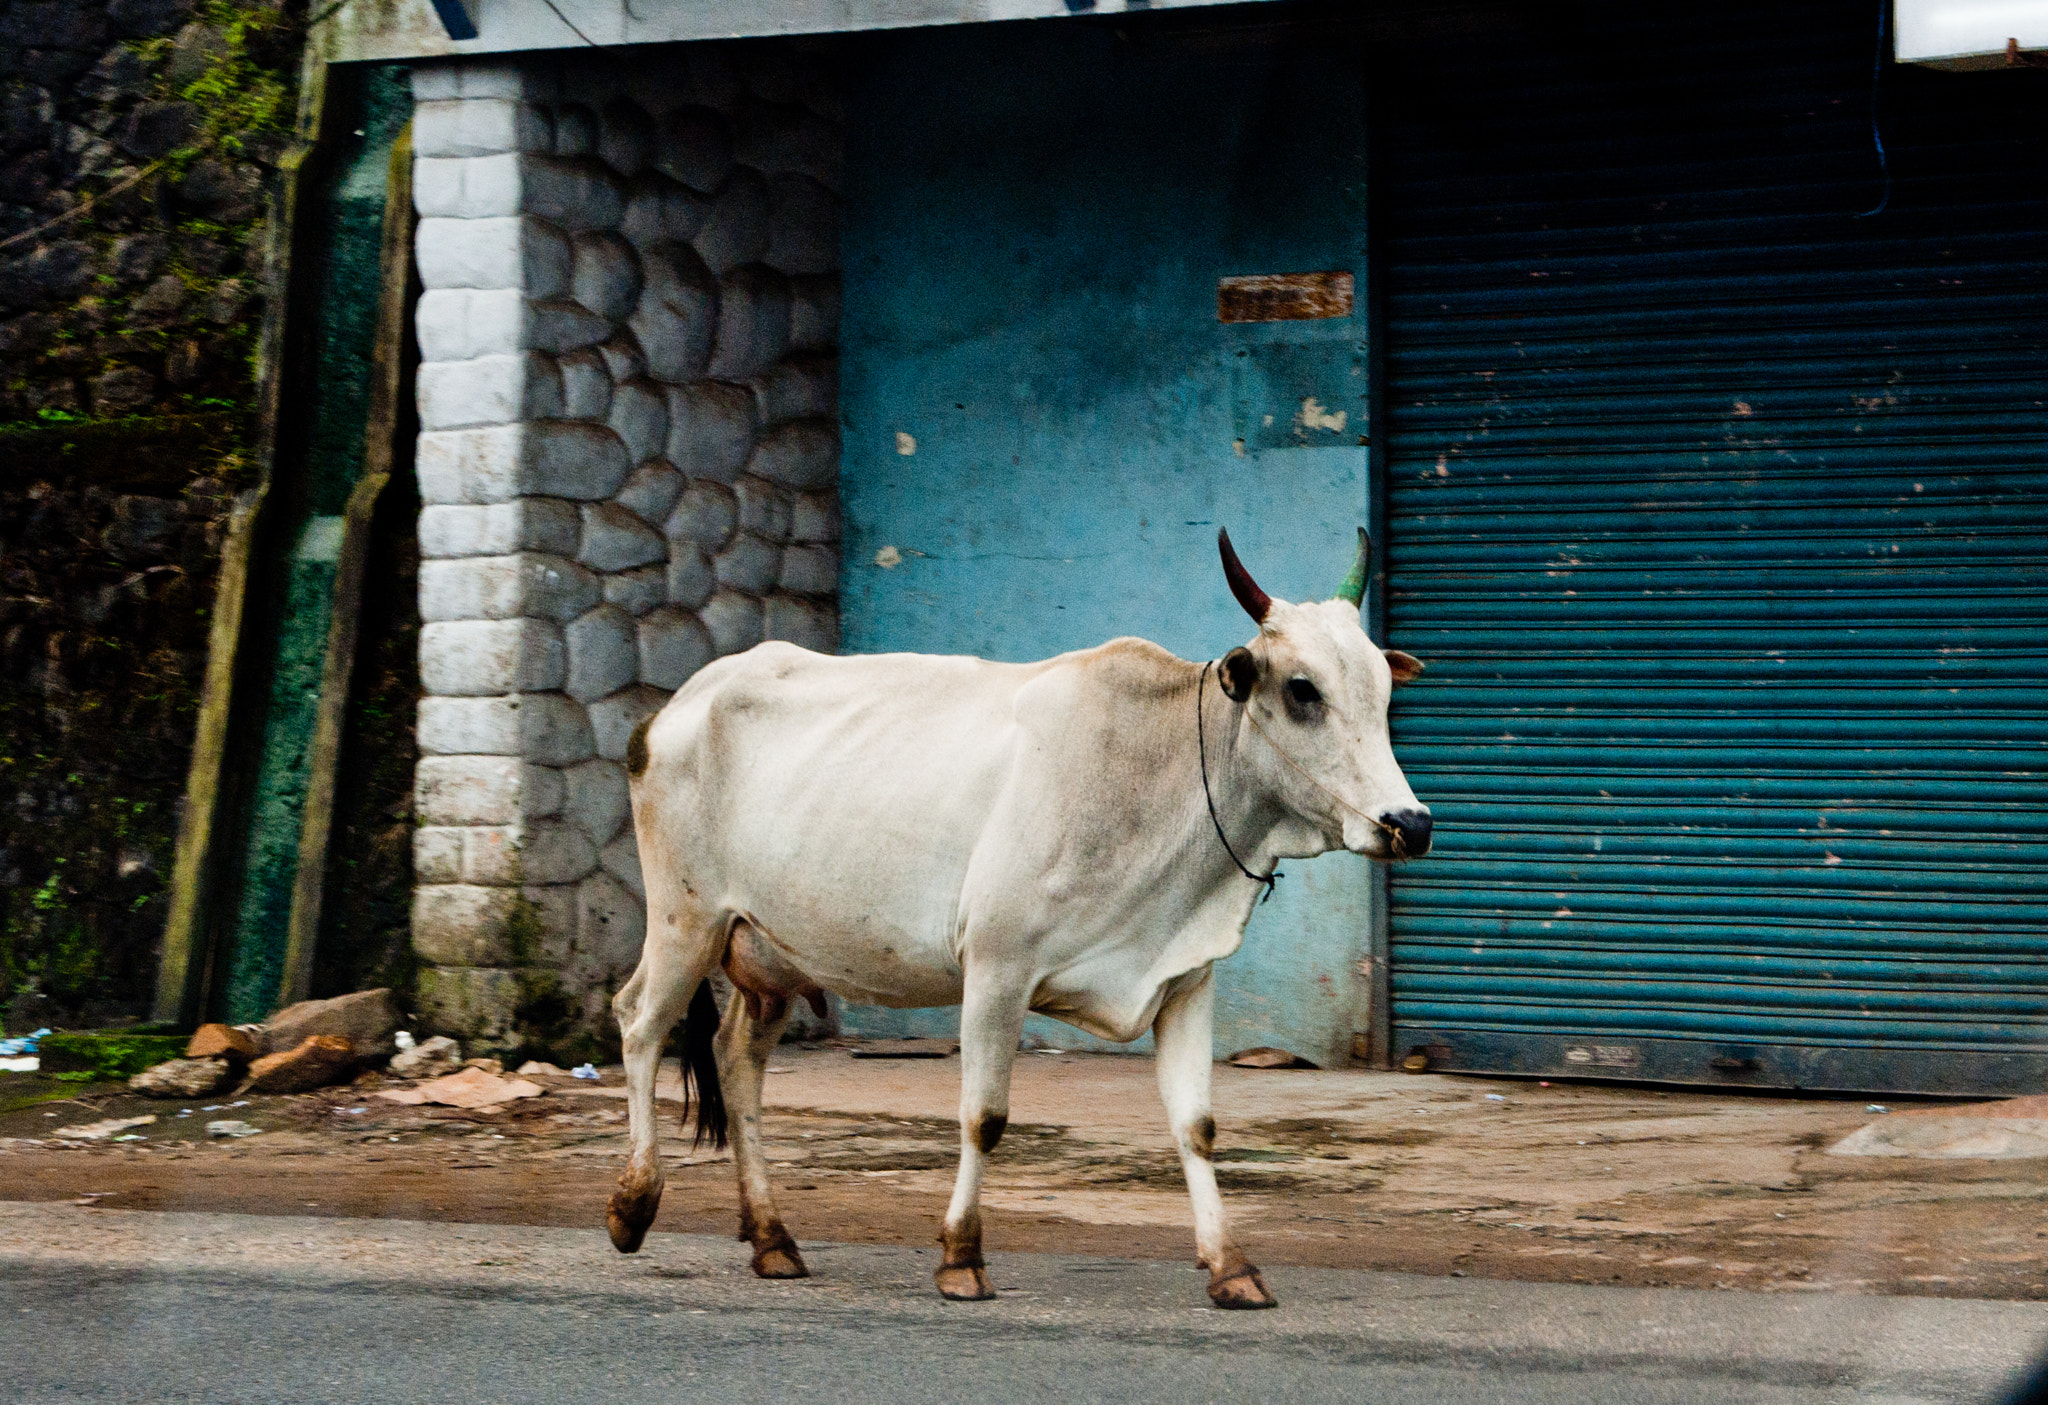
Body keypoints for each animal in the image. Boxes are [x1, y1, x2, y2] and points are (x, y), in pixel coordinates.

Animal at [610, 528, 1425, 1310]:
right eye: (1301, 690)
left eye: (1384, 692)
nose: (1410, 824)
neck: (1160, 771)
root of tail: (676, 705)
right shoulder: (997, 969)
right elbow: (985, 1115)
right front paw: (961, 1259)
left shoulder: (1185, 978)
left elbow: (1196, 1127)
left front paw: (1231, 1268)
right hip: (686, 921)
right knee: (640, 1023)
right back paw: (634, 1203)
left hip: (768, 956)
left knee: (736, 1059)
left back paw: (773, 1239)